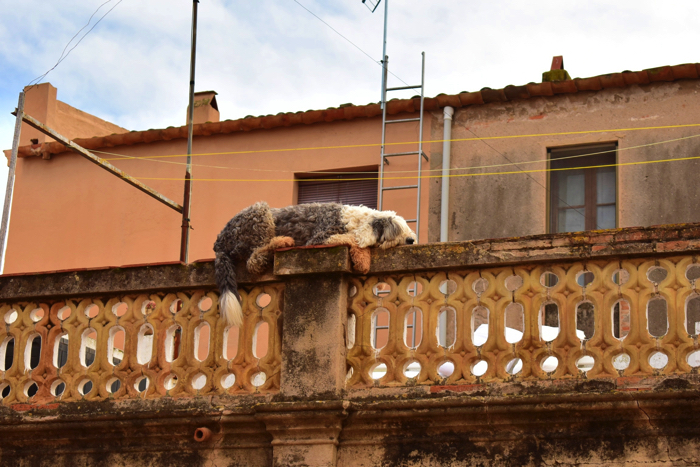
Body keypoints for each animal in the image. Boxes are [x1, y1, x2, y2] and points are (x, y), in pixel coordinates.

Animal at [213, 203, 416, 328]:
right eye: (396, 231)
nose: (411, 240)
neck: (356, 221)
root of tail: (220, 241)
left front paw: (362, 260)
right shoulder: (319, 239)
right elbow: (350, 239)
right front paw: (362, 255)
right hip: (260, 214)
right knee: (254, 260)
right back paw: (282, 241)